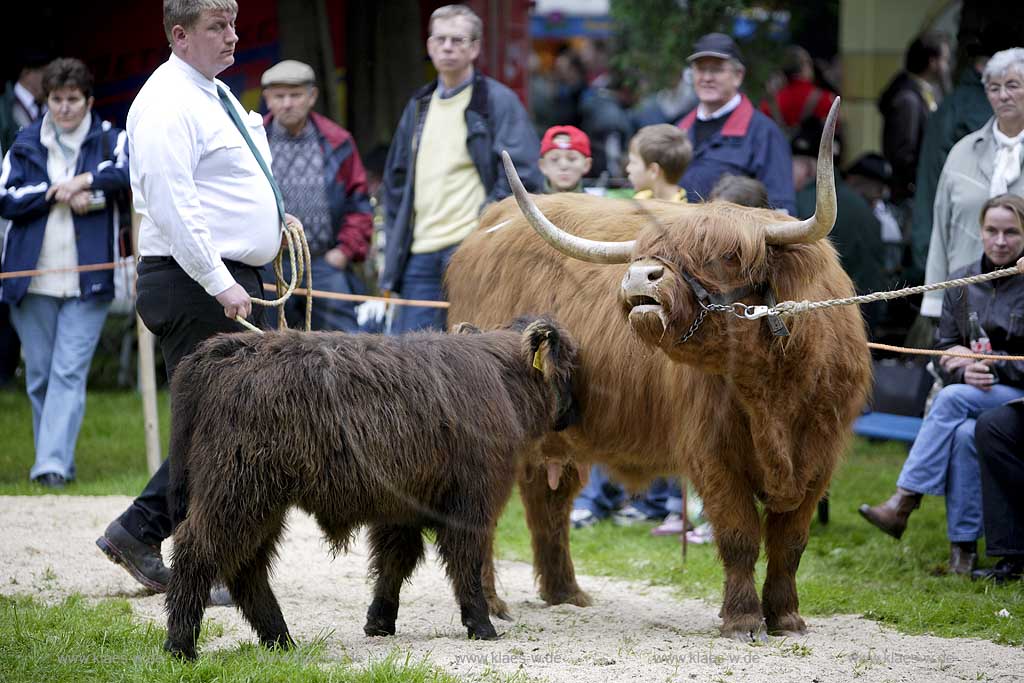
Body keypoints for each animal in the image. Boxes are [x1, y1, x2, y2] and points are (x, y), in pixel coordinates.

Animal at [159, 317, 577, 659]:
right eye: (571, 362)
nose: (574, 414)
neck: (500, 380)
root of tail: (225, 350)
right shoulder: (471, 503)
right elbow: (467, 562)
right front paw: (482, 625)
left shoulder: (404, 507)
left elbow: (396, 560)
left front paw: (379, 623)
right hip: (237, 493)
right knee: (198, 550)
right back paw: (181, 646)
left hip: (260, 503)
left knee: (247, 566)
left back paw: (280, 639)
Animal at [448, 97, 872, 643]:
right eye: (651, 250)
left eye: (728, 255)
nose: (638, 276)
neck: (774, 391)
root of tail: (487, 227)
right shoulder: (713, 454)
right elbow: (739, 534)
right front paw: (742, 619)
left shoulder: (821, 455)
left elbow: (791, 542)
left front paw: (787, 618)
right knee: (483, 513)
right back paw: (495, 604)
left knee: (550, 501)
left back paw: (565, 594)